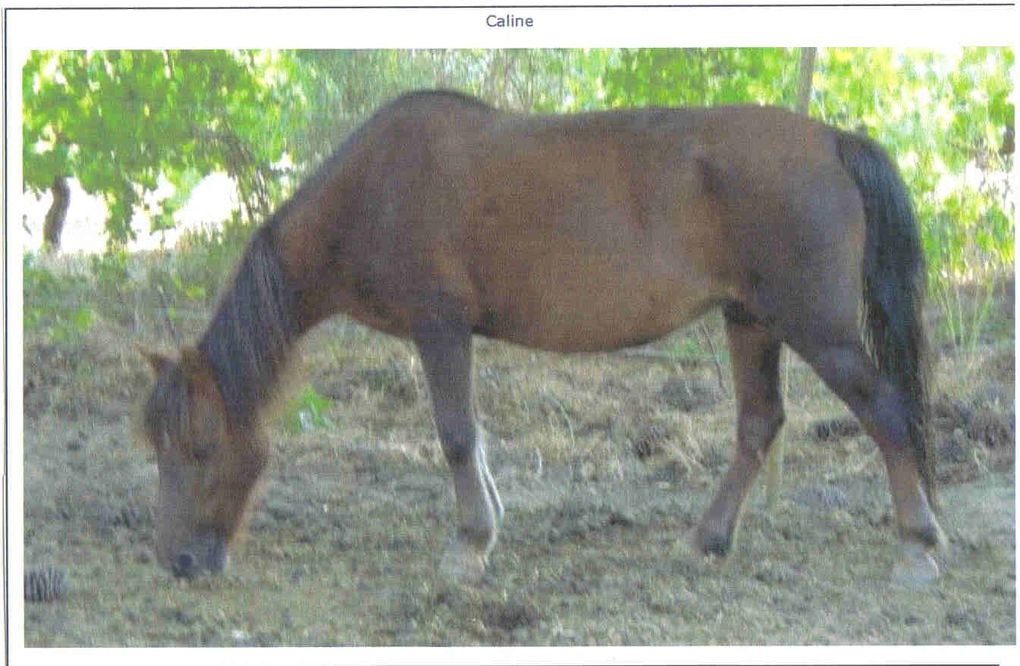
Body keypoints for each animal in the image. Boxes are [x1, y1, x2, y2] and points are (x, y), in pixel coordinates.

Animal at [139, 89, 942, 583]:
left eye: (200, 447)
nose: (180, 562)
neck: (372, 191)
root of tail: (831, 141)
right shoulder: (452, 335)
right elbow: (474, 438)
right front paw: (486, 528)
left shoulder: (439, 327)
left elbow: (456, 436)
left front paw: (468, 547)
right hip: (750, 321)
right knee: (759, 424)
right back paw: (708, 538)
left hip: (817, 328)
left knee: (886, 412)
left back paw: (917, 546)